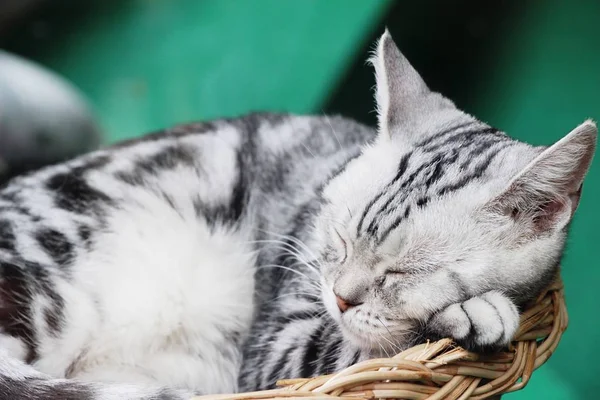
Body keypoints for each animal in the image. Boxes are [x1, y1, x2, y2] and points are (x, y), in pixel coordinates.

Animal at [0, 29, 596, 398]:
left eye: (404, 272)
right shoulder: (277, 349)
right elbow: (357, 350)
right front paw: (466, 315)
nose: (341, 296)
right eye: (340, 238)